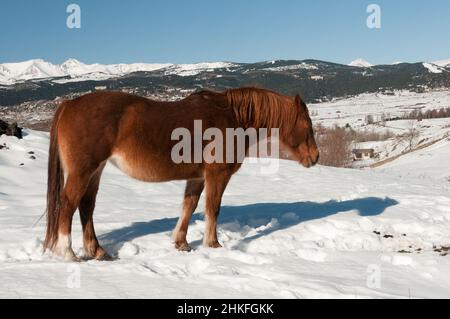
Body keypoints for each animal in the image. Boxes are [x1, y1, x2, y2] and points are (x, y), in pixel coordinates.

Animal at [43, 86, 320, 262]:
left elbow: (189, 206)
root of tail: (69, 104)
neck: (232, 117)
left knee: (86, 207)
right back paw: (69, 254)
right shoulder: (217, 175)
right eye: (307, 124)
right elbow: (212, 208)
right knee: (67, 205)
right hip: (83, 171)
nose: (315, 157)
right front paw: (213, 244)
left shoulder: (196, 178)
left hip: (95, 171)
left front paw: (181, 243)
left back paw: (97, 251)